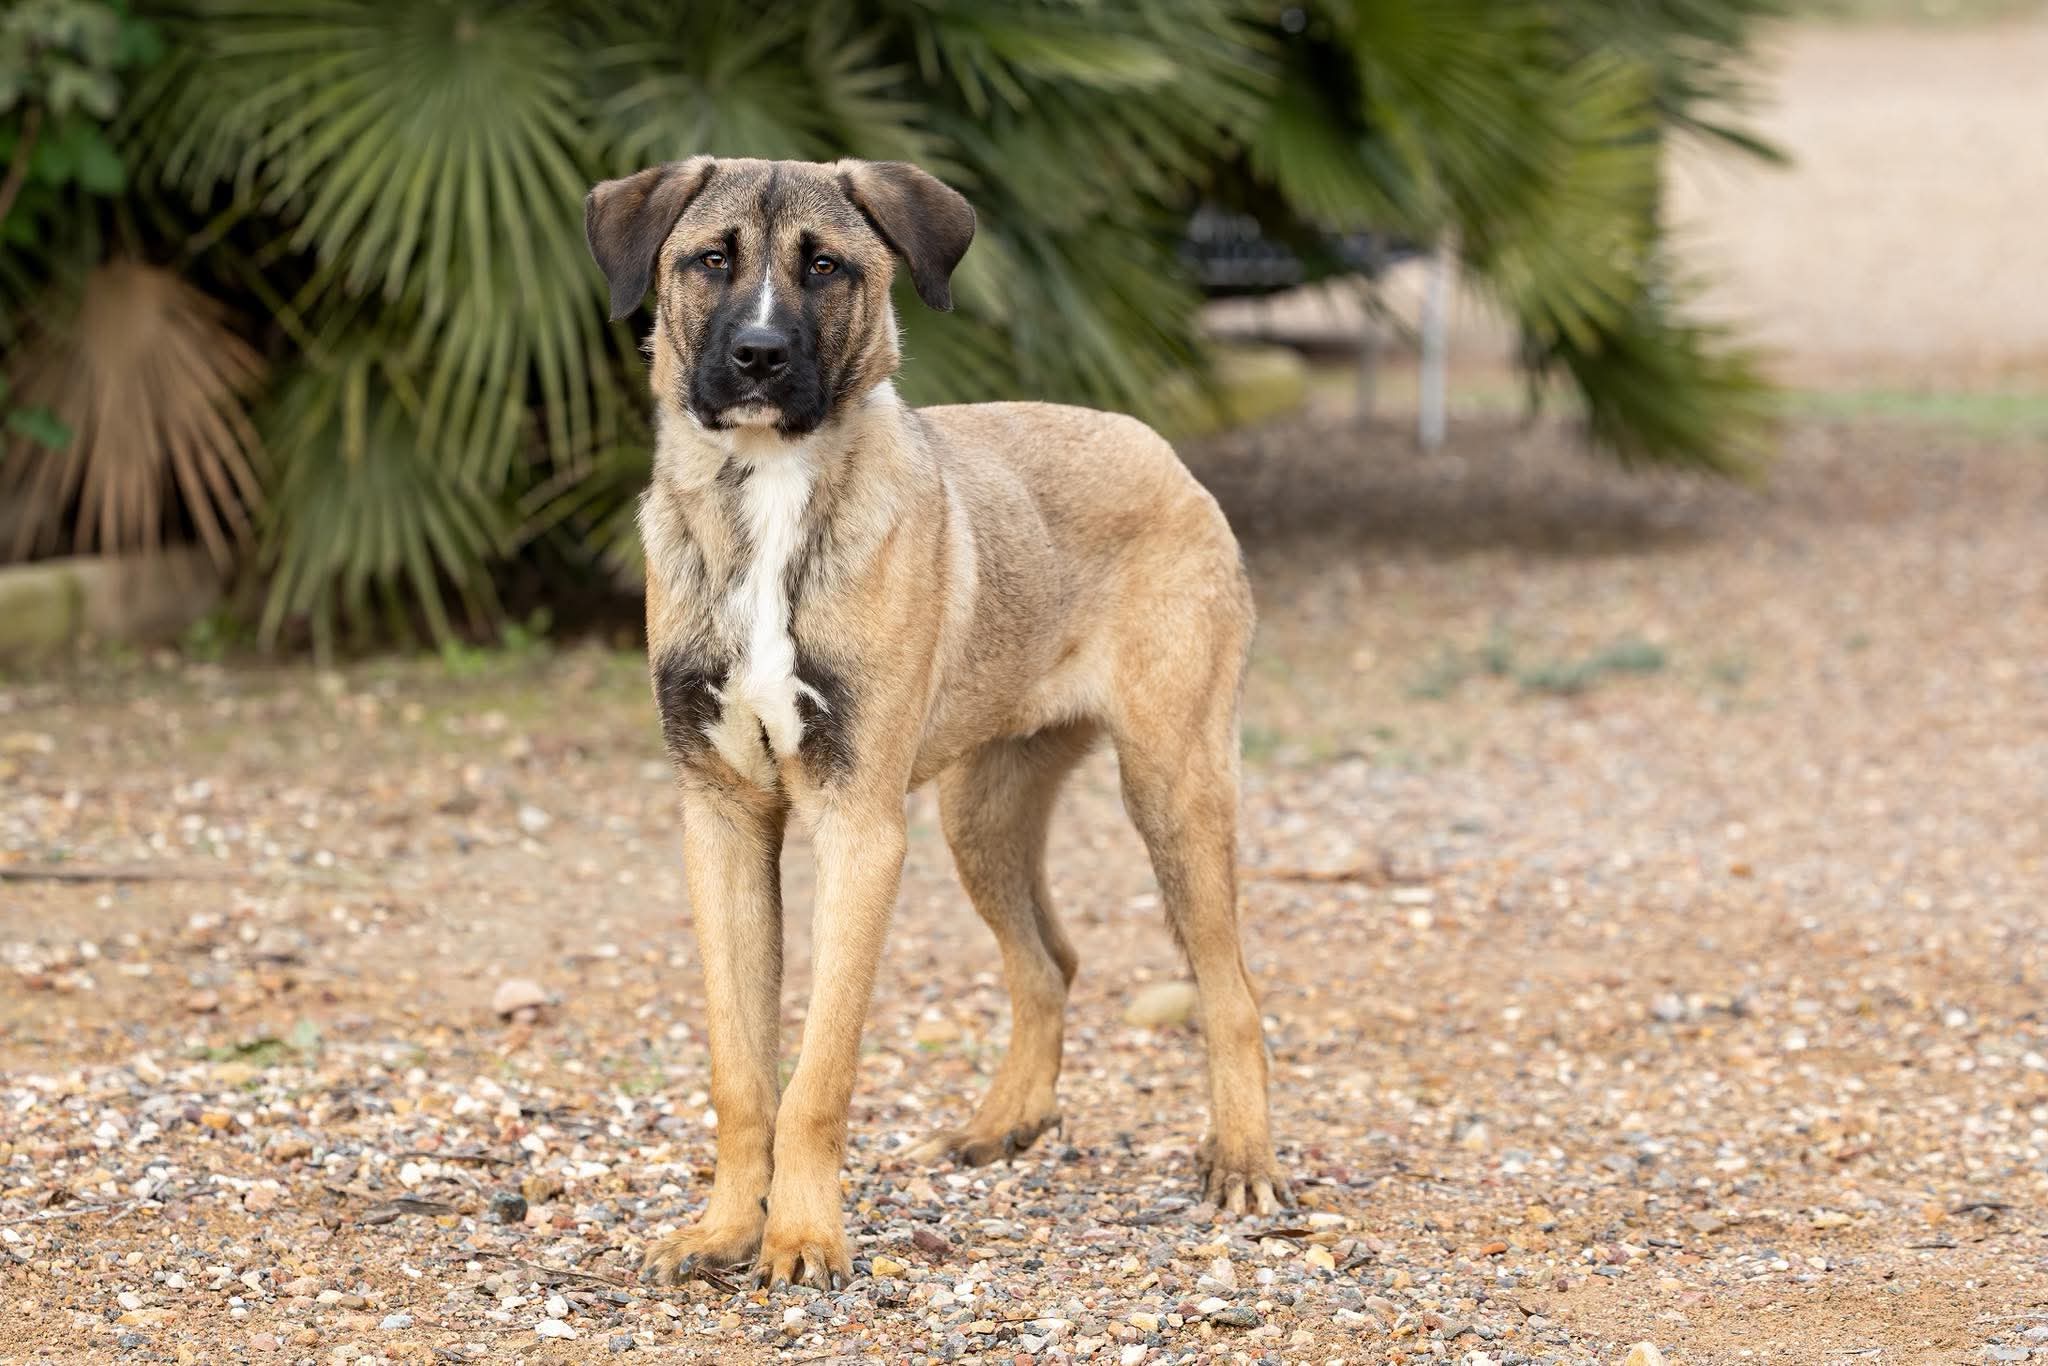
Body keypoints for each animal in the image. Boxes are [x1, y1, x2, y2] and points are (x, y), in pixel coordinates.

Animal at [584, 156, 1288, 1290]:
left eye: (826, 266)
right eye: (710, 259)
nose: (758, 356)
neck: (770, 497)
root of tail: (1156, 443)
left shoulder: (860, 826)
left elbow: (818, 1073)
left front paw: (803, 1236)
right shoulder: (721, 819)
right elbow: (741, 1071)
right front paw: (727, 1227)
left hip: (1172, 787)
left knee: (1230, 992)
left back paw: (1243, 1162)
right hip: (982, 812)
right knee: (1048, 963)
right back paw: (1003, 1123)